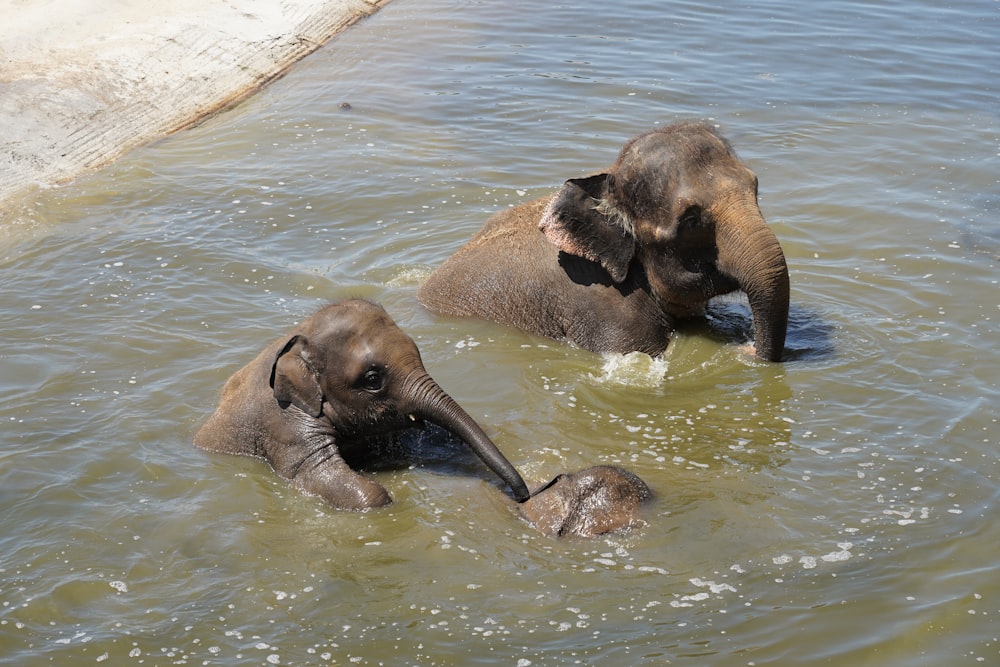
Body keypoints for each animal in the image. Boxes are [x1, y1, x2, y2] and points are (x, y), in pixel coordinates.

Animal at [190, 300, 528, 508]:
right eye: (372, 379)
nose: (523, 495)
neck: (300, 336)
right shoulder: (285, 424)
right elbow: (320, 475)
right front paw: (386, 500)